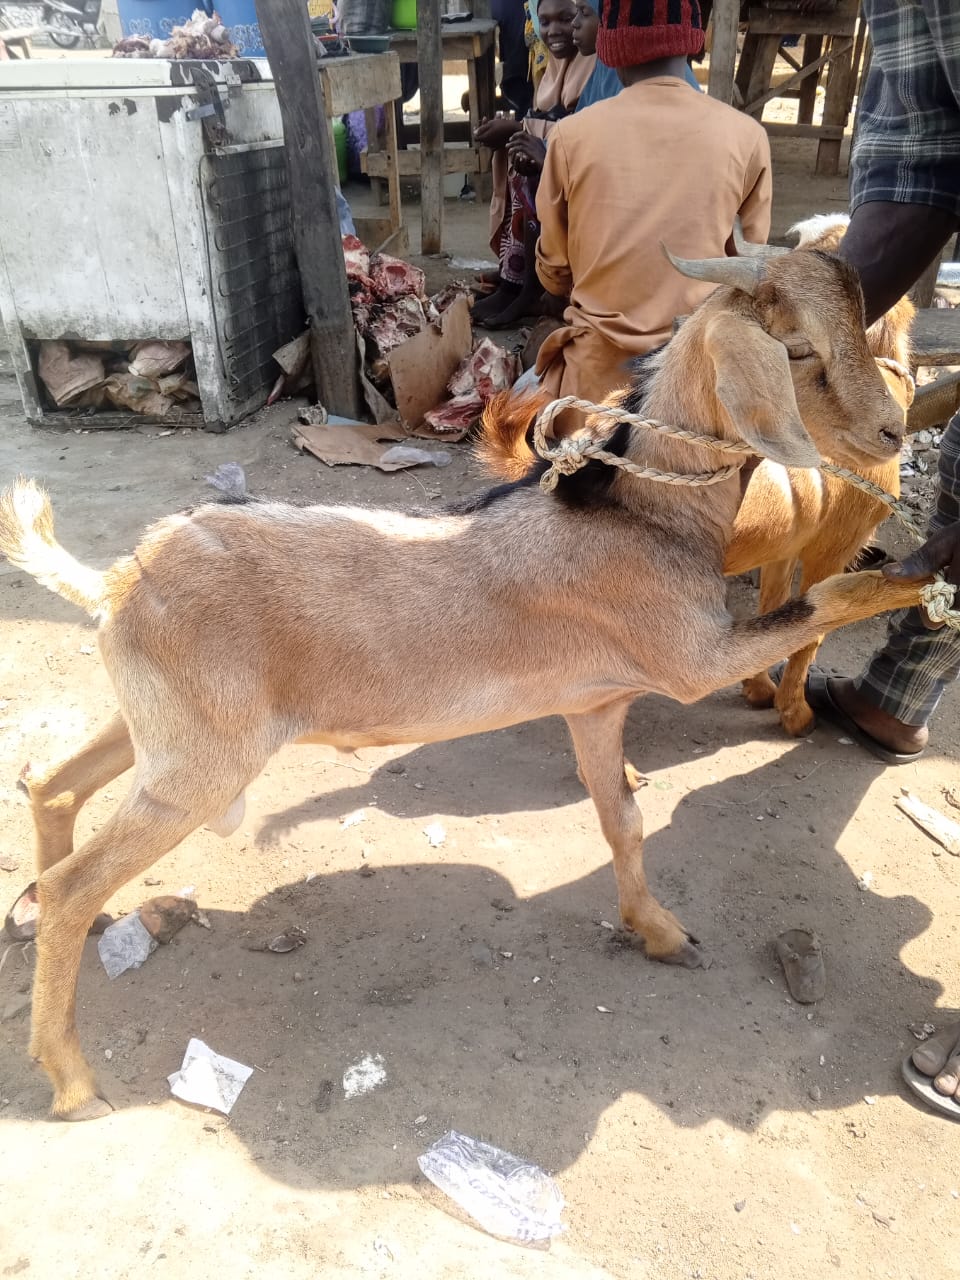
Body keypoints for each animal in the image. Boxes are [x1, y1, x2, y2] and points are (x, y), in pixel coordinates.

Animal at [722, 214, 915, 735]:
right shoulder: (837, 545)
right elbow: (813, 631)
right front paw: (797, 714)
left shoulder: (786, 546)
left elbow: (774, 609)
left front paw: (758, 690)